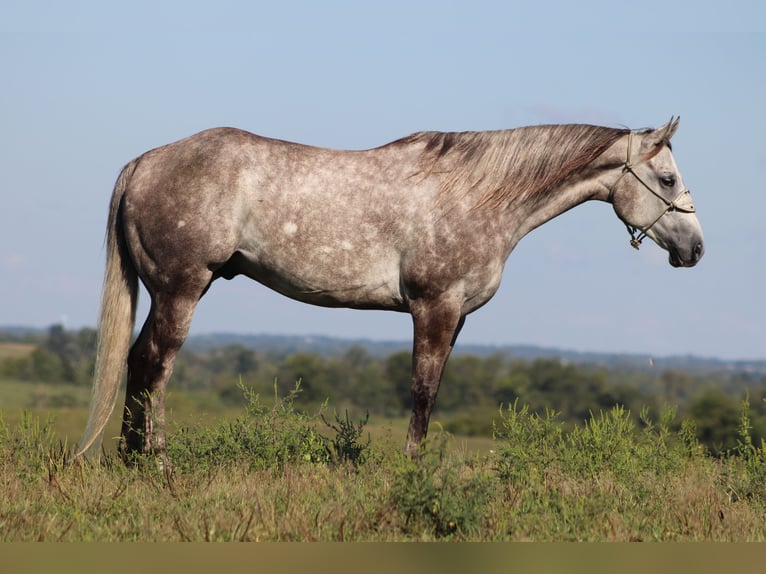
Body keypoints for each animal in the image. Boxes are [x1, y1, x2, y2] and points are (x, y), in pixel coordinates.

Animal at [75, 117, 703, 462]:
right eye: (668, 178)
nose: (695, 249)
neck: (478, 195)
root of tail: (144, 162)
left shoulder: (457, 317)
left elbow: (435, 390)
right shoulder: (434, 307)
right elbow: (422, 392)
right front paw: (411, 466)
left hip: (170, 292)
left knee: (138, 361)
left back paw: (133, 460)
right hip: (181, 290)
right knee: (157, 365)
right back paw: (156, 462)